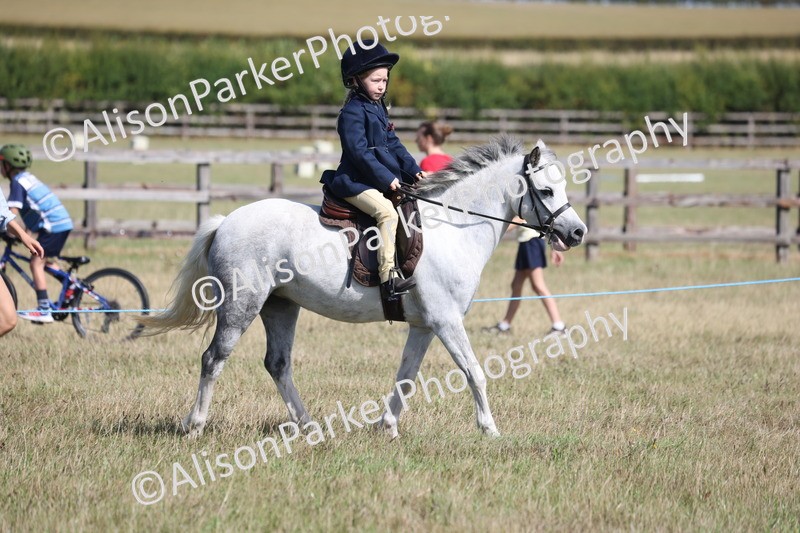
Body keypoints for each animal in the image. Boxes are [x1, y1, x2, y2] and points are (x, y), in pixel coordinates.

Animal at [140, 136, 586, 439]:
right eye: (546, 191)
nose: (577, 232)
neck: (455, 228)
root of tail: (226, 221)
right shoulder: (446, 321)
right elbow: (474, 372)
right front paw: (490, 430)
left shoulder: (424, 326)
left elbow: (406, 376)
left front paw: (387, 426)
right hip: (241, 306)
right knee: (213, 358)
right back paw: (195, 425)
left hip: (280, 306)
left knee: (278, 364)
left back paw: (310, 427)